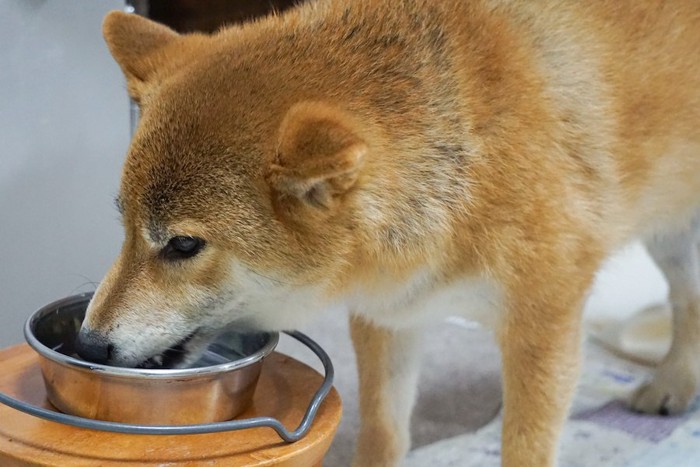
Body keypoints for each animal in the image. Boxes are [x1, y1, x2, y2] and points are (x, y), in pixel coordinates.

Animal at [76, 1, 700, 466]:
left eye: (183, 245)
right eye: (125, 226)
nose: (88, 345)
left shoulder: (544, 325)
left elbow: (525, 445)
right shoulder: (390, 316)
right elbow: (384, 428)